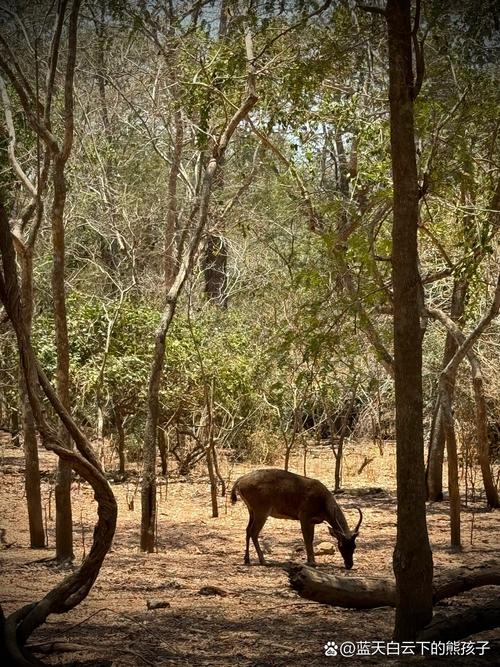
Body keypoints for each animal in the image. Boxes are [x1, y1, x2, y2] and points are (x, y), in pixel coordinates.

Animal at [230, 470, 364, 568]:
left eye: (354, 546)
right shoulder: (304, 515)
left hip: (251, 510)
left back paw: (247, 559)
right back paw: (263, 561)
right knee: (254, 532)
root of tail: (239, 481)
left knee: (247, 530)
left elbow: (311, 539)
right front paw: (311, 562)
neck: (323, 504)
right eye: (341, 545)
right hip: (261, 509)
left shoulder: (312, 521)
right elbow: (307, 539)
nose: (349, 565)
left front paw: (312, 560)